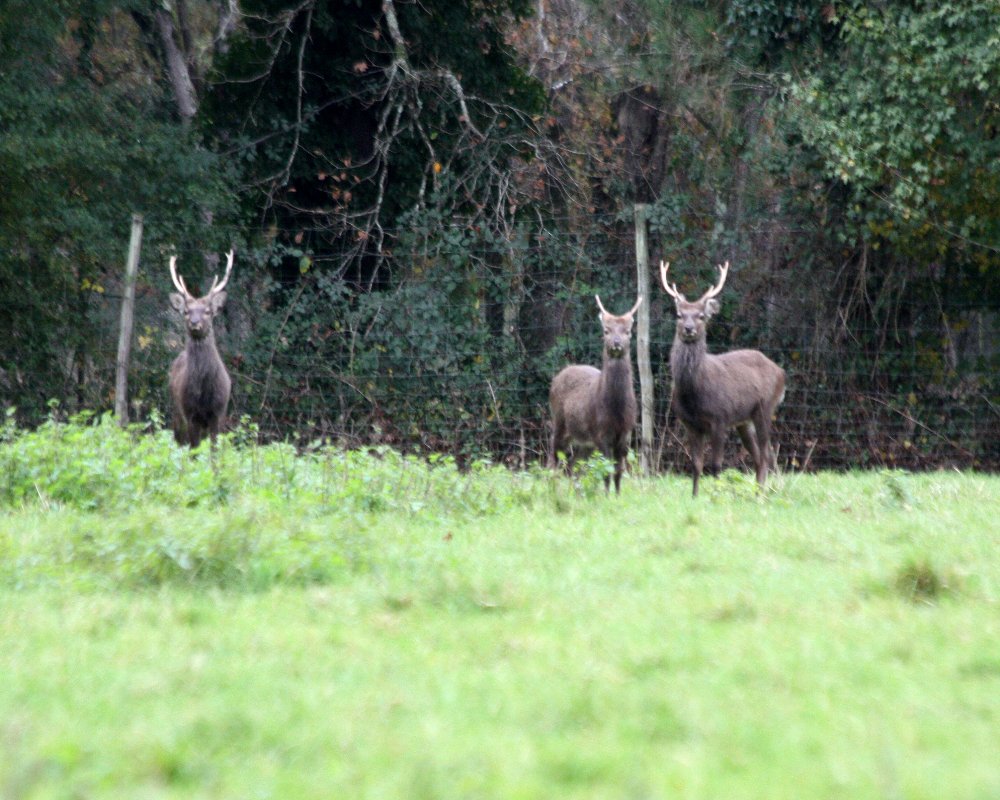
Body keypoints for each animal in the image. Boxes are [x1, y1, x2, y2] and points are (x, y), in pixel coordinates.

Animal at [171, 250, 237, 450]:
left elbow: (215, 450)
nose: (194, 323)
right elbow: (194, 449)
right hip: (176, 410)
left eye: (208, 311)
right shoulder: (190, 413)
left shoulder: (219, 412)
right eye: (186, 312)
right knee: (179, 441)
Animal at [552, 294, 644, 494]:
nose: (616, 343)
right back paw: (552, 486)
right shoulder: (601, 432)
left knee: (573, 464)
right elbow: (606, 471)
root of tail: (556, 378)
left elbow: (618, 471)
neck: (616, 410)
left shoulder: (626, 433)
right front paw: (607, 496)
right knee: (554, 458)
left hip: (585, 441)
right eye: (606, 330)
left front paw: (617, 495)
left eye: (627, 331)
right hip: (559, 422)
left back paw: (575, 491)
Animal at [660, 260, 784, 494]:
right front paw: (694, 496)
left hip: (765, 408)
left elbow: (716, 465)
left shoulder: (720, 418)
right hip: (744, 421)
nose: (689, 329)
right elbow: (696, 464)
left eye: (701, 316)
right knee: (758, 455)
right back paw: (757, 490)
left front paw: (716, 494)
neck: (694, 393)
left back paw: (762, 493)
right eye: (680, 315)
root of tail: (781, 372)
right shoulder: (690, 424)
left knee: (766, 453)